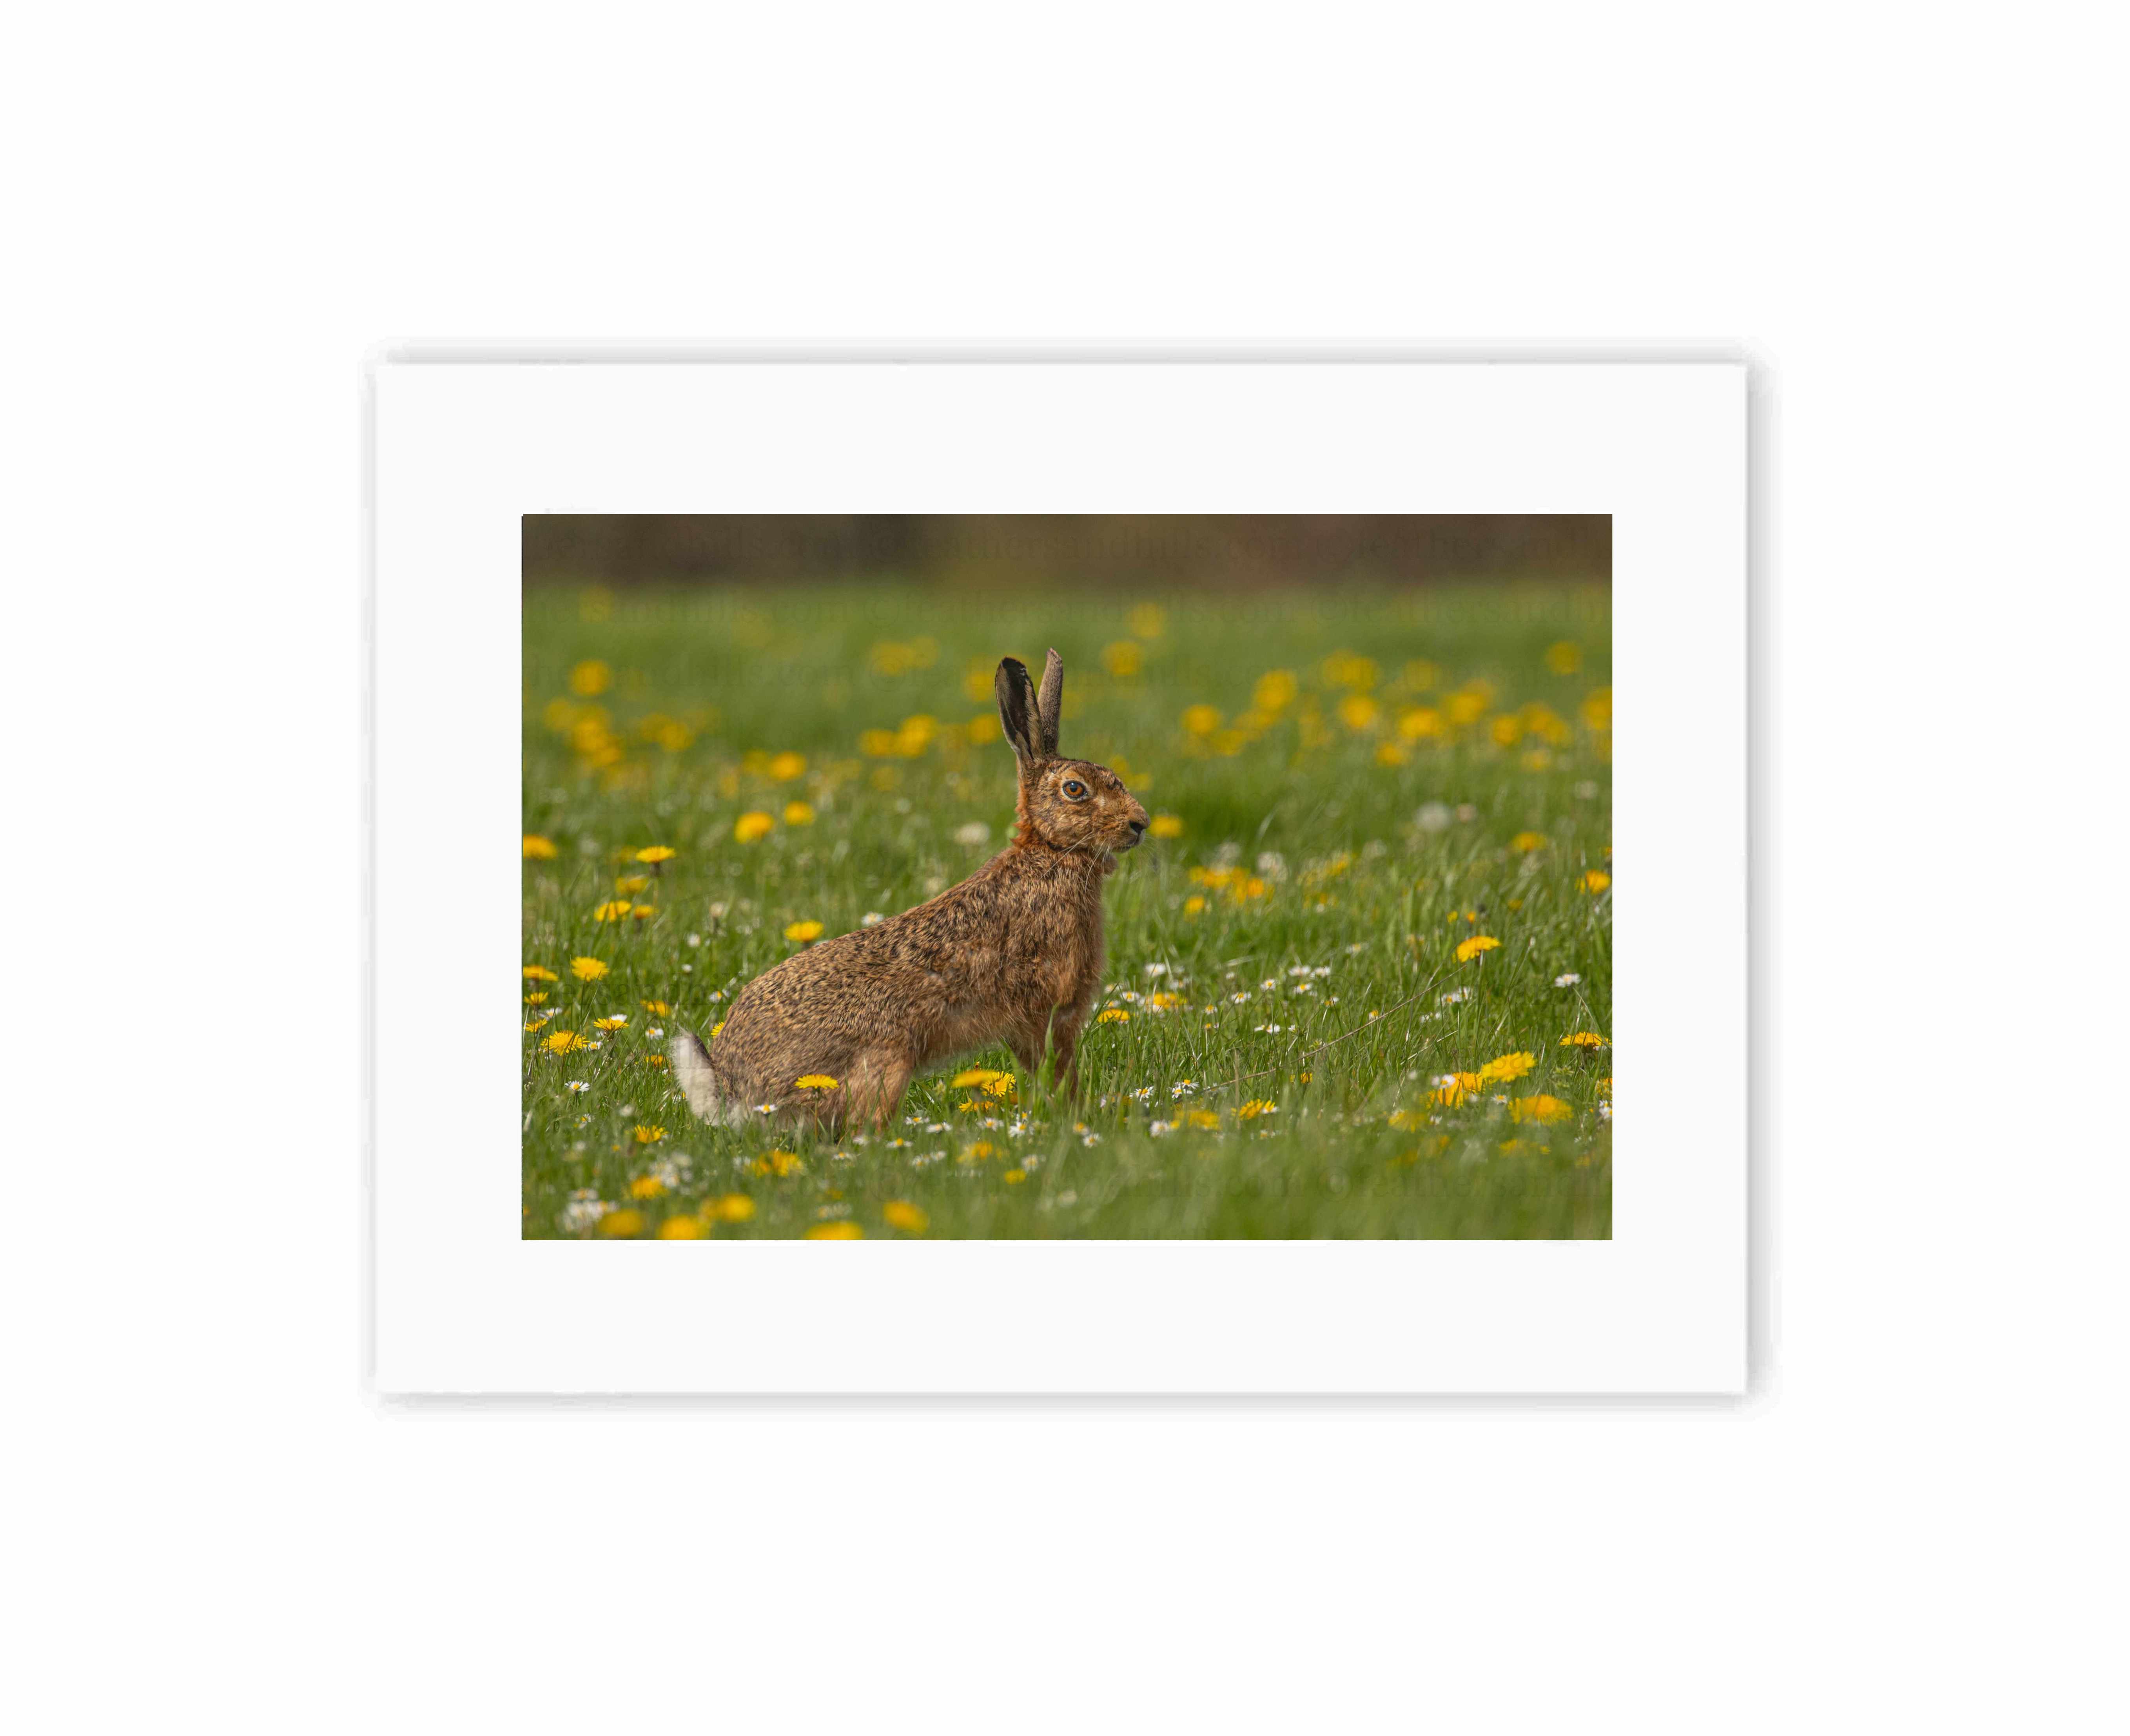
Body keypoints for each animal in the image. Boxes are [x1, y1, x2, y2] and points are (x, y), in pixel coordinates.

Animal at [668, 649, 1149, 1132]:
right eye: (1075, 789)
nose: (1140, 824)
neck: (1051, 852)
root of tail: (732, 1093)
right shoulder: (1047, 1011)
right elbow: (1056, 1072)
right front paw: (1073, 1117)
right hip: (886, 1062)